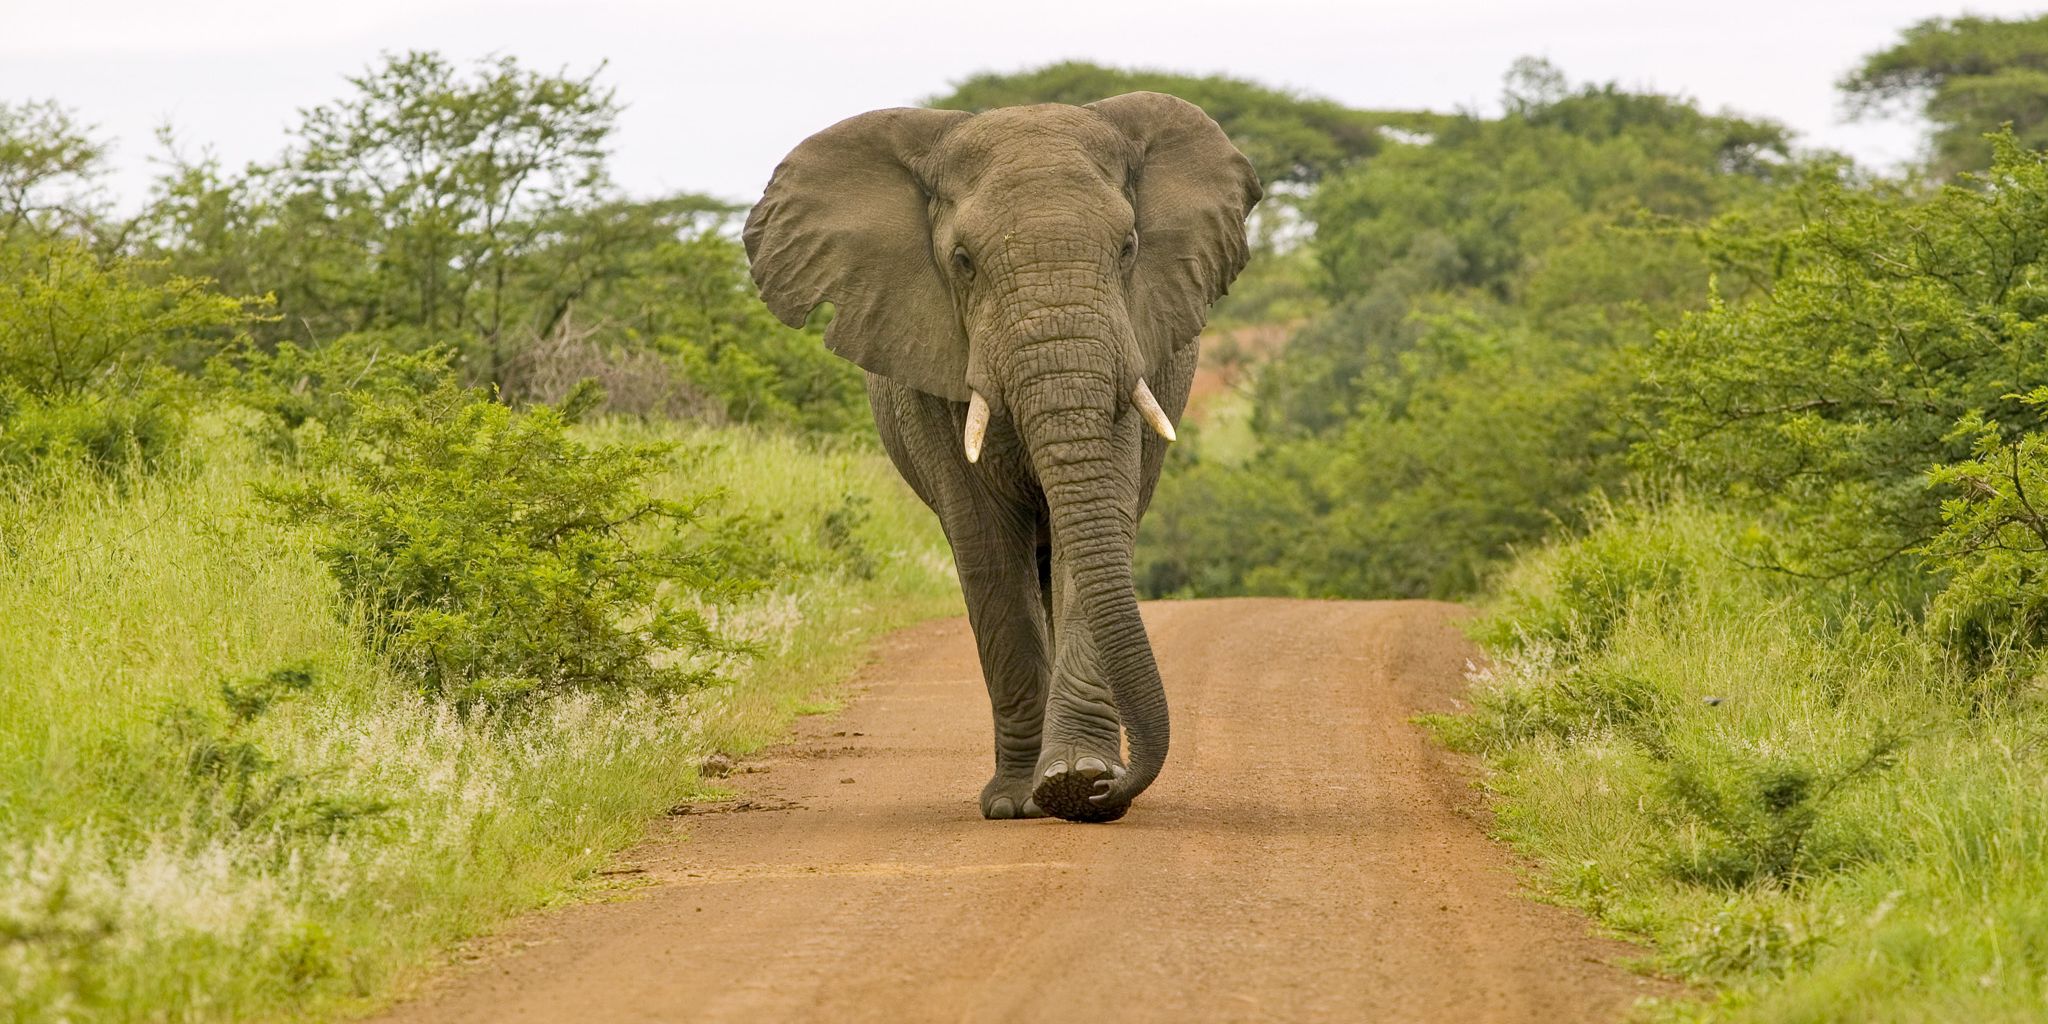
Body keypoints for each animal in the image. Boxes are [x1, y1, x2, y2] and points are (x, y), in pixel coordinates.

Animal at [743, 93, 1260, 822]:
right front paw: (1025, 801)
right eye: (962, 261)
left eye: (1128, 249)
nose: (1111, 793)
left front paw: (1077, 780)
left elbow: (1098, 528)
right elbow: (987, 546)